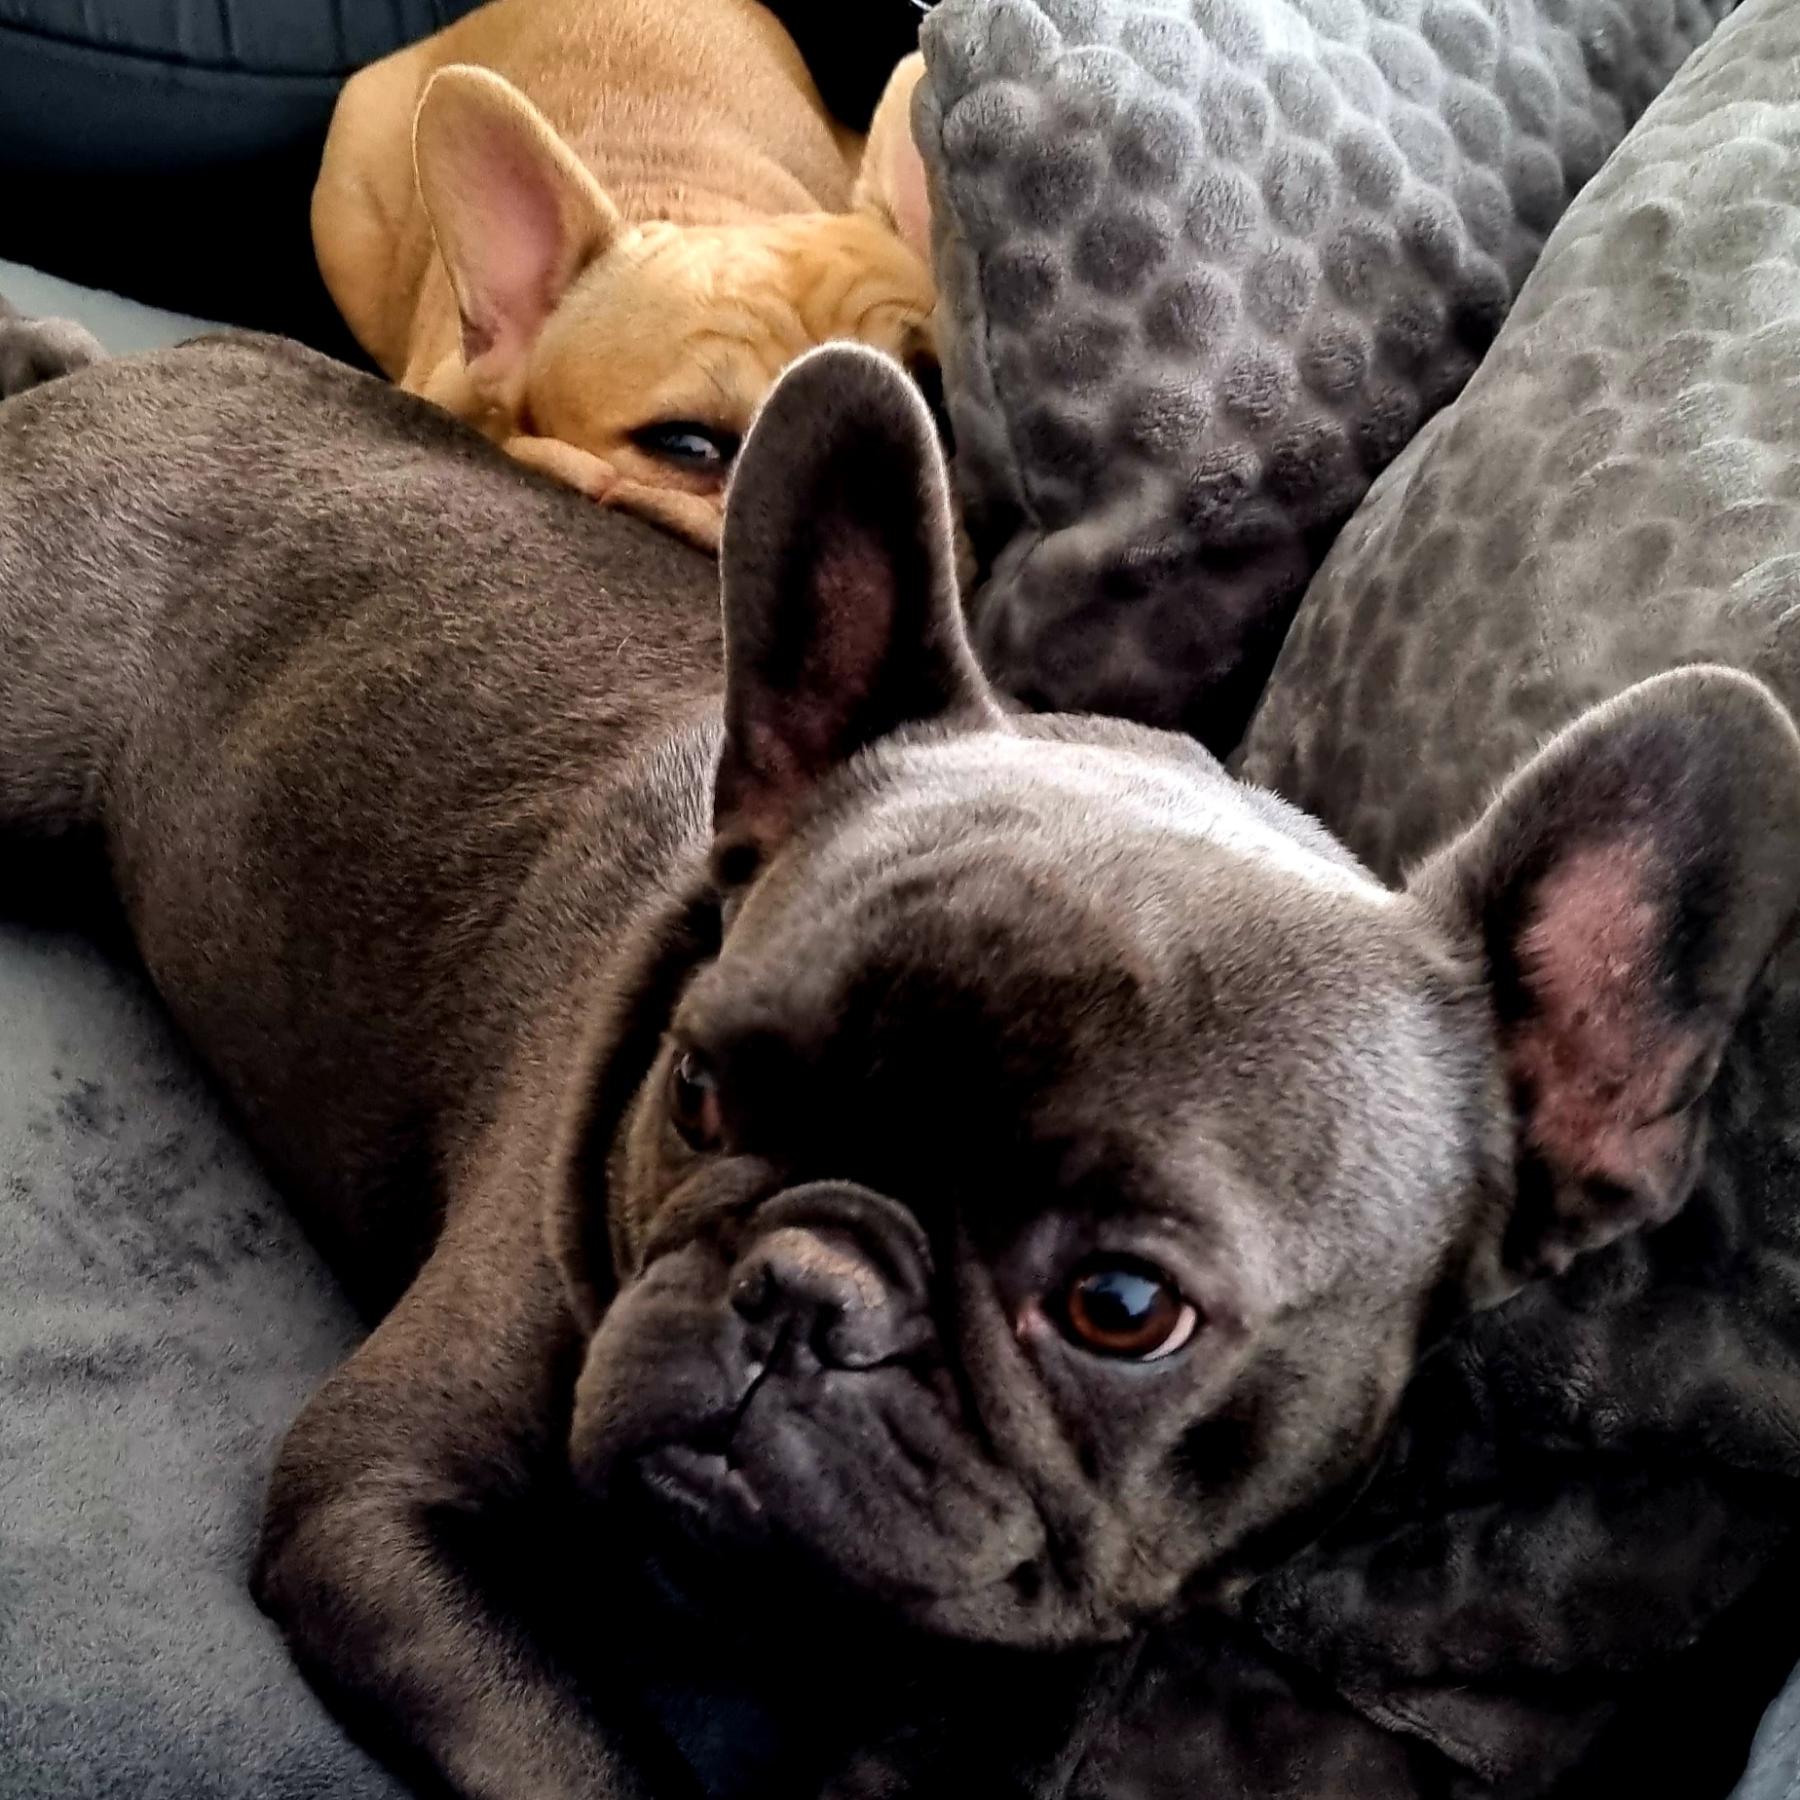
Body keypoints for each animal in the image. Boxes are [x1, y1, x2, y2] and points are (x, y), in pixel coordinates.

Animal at [4, 312, 1800, 1800]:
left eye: (1125, 1308)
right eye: (697, 1090)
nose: (805, 1293)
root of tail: (131, 371)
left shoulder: (1014, 1679)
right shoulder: (382, 1509)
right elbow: (593, 1762)